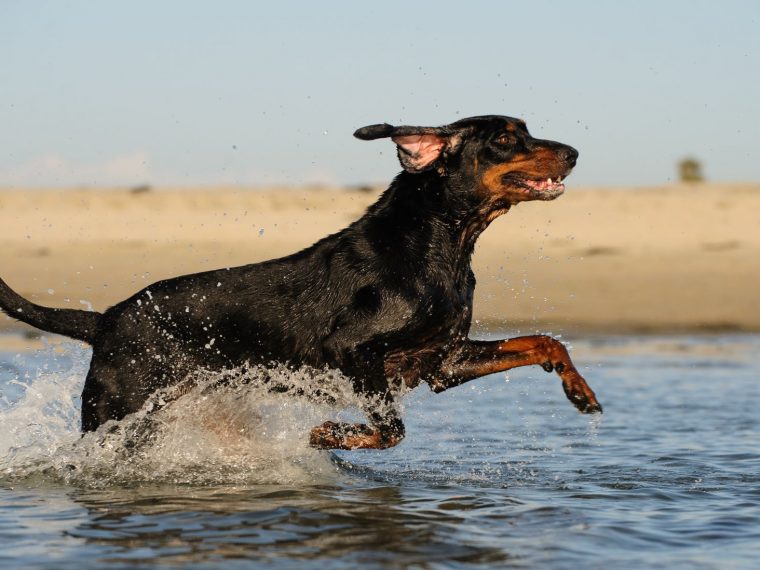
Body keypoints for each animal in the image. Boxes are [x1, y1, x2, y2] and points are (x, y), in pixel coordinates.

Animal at [1, 114, 604, 448]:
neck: (440, 246)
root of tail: (105, 319)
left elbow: (544, 341)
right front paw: (329, 435)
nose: (575, 153)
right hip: (116, 411)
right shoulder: (352, 350)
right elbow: (390, 428)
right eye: (504, 139)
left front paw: (581, 392)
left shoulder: (441, 361)